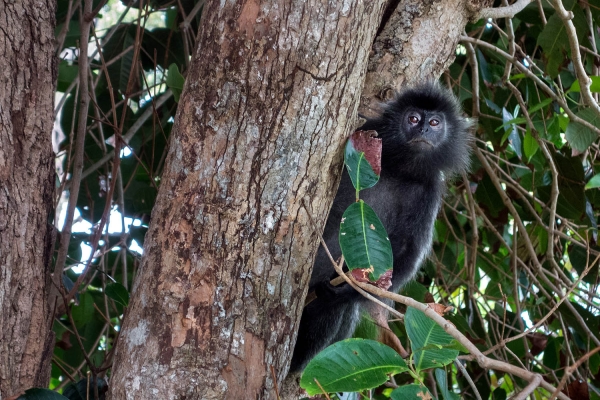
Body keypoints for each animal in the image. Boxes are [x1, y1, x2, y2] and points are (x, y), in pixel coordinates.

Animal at [290, 80, 474, 372]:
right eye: (413, 118)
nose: (423, 130)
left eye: (435, 122)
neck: (400, 167)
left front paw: (346, 293)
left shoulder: (429, 191)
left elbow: (407, 254)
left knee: (332, 310)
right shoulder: (364, 131)